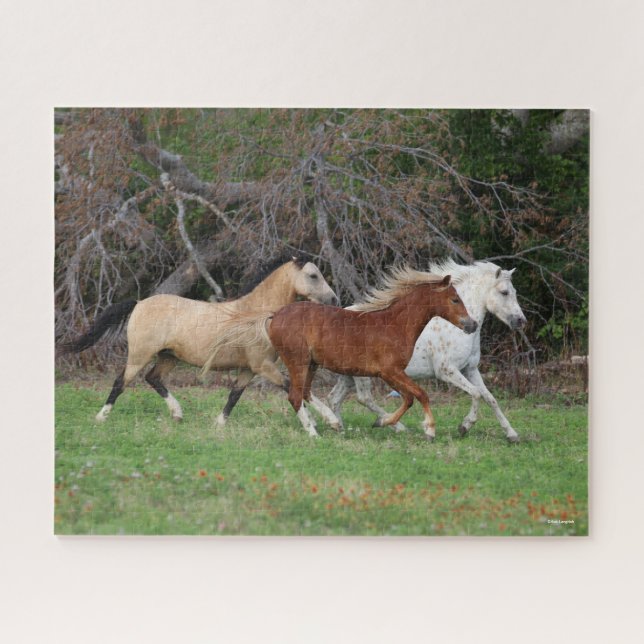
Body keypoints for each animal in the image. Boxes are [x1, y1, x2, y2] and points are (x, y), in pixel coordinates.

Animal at [61, 256, 339, 426]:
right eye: (313, 275)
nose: (334, 300)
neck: (257, 315)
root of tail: (139, 303)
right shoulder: (263, 366)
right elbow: (294, 387)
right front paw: (329, 421)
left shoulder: (249, 369)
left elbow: (234, 396)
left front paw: (219, 425)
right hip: (139, 355)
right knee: (121, 382)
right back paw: (101, 417)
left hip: (168, 356)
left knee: (153, 378)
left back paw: (177, 413)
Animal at [210, 267, 477, 438]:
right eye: (454, 299)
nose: (472, 325)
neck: (395, 325)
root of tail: (274, 315)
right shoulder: (389, 371)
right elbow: (419, 395)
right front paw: (426, 429)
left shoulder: (392, 373)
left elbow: (410, 397)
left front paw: (384, 422)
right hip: (298, 361)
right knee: (295, 396)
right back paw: (314, 432)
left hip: (312, 364)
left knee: (305, 393)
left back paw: (333, 423)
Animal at [326, 260, 527, 442]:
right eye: (504, 292)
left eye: (515, 292)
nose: (520, 321)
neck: (453, 326)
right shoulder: (447, 371)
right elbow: (476, 394)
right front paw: (464, 426)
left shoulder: (470, 369)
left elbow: (490, 398)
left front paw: (512, 434)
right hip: (364, 375)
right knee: (364, 398)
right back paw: (394, 426)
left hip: (349, 374)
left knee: (334, 398)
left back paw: (341, 429)